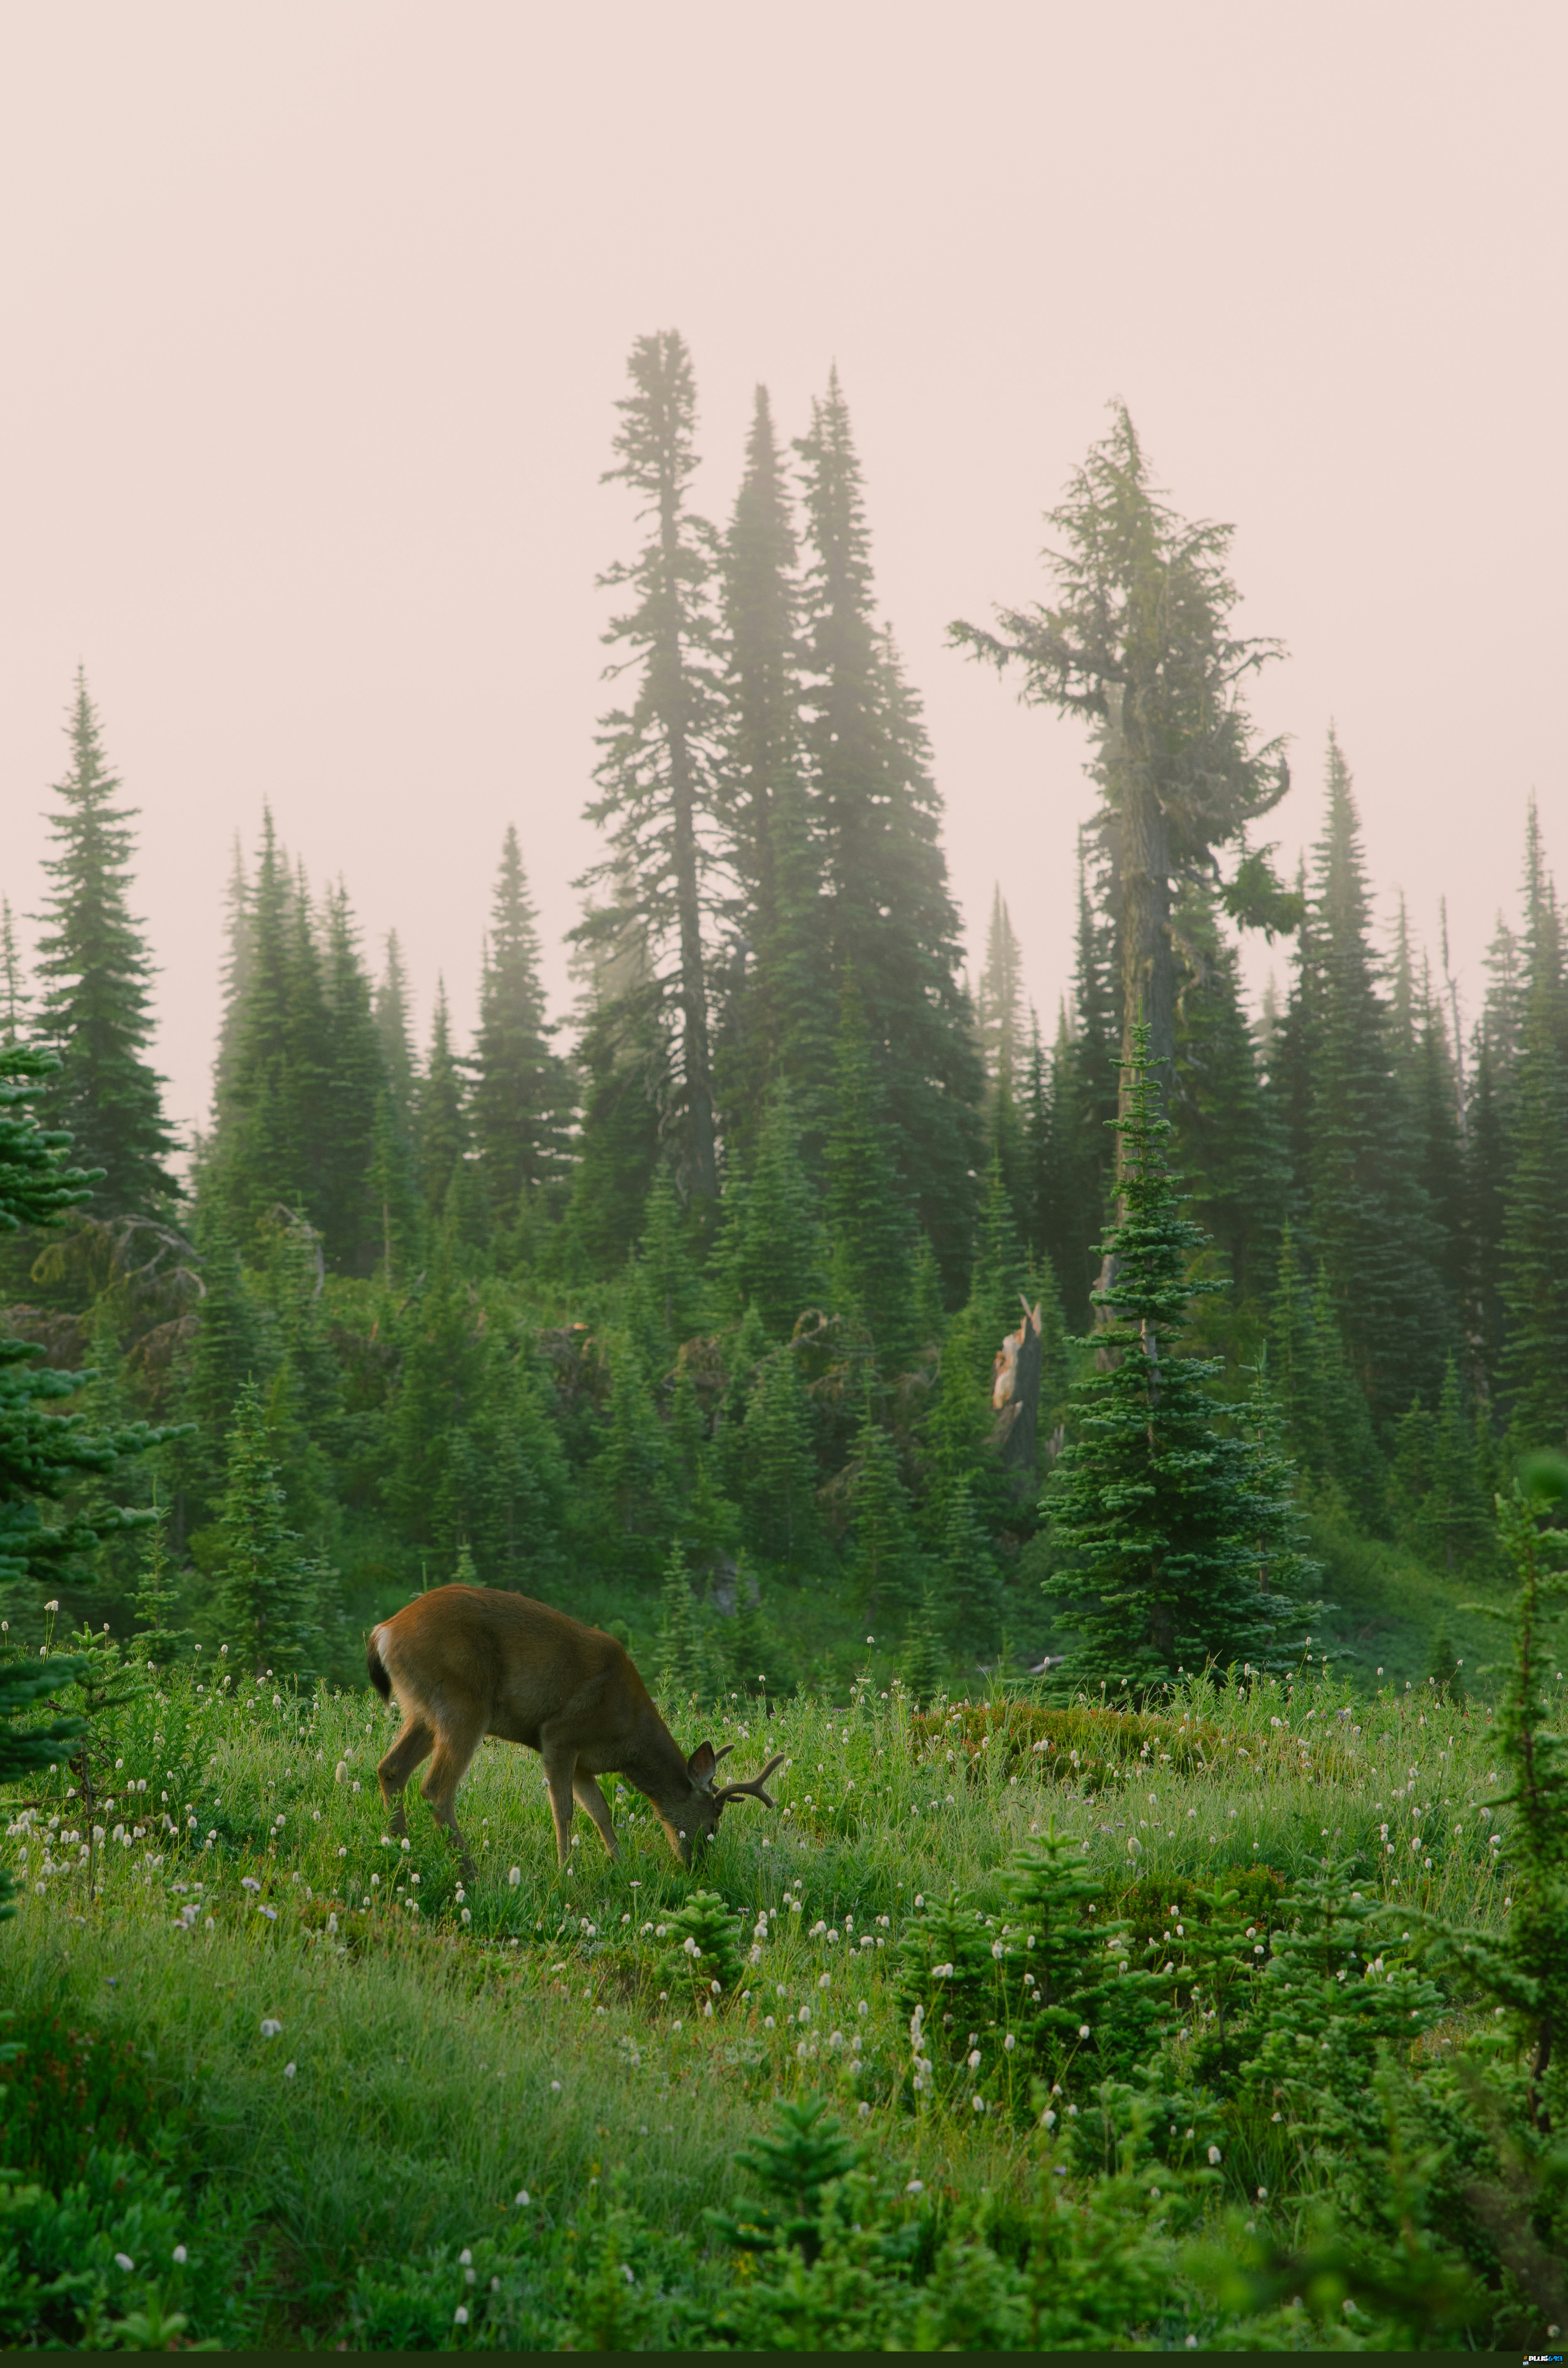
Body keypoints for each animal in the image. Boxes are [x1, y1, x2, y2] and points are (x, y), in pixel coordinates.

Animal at [365, 1584, 785, 1876]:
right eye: (712, 1825)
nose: (698, 1866)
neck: (627, 1736)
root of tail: (384, 1631)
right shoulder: (559, 1735)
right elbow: (564, 1810)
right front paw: (565, 1868)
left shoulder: (585, 1762)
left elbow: (601, 1811)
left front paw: (620, 1864)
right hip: (463, 1702)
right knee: (436, 1788)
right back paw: (470, 1871)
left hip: (422, 1710)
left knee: (391, 1768)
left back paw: (401, 1848)